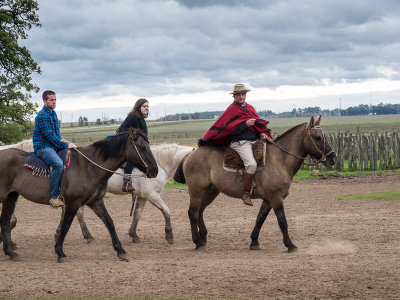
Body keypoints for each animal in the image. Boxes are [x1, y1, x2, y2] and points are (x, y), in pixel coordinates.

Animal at [0, 129, 159, 262]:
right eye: (142, 147)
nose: (155, 170)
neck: (89, 167)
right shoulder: (73, 203)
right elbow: (66, 225)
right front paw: (60, 252)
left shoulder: (96, 202)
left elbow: (109, 222)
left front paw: (121, 251)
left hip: (11, 197)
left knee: (5, 221)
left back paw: (11, 253)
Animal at [0, 139, 194, 245]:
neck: (160, 163)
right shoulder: (151, 195)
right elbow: (166, 211)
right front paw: (169, 235)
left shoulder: (142, 196)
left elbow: (137, 215)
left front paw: (134, 235)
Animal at [175, 116, 338, 252]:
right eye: (317, 137)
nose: (333, 159)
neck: (280, 159)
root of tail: (191, 153)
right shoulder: (276, 198)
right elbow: (282, 222)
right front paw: (290, 245)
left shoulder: (268, 200)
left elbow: (260, 219)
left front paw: (254, 242)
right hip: (196, 192)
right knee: (192, 213)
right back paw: (198, 242)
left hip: (210, 192)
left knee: (200, 211)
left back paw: (203, 238)